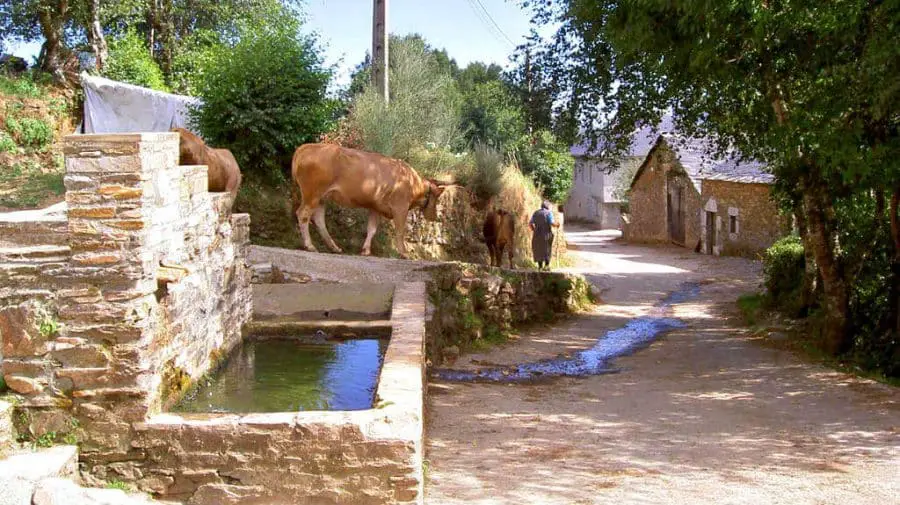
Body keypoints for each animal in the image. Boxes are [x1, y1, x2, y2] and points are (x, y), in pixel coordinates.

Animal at [292, 144, 446, 258]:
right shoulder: (400, 207)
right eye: (437, 197)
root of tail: (307, 147)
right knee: (303, 214)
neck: (413, 182)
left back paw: (334, 247)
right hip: (312, 194)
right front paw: (404, 253)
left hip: (321, 198)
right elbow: (400, 231)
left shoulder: (375, 207)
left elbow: (371, 229)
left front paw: (365, 250)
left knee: (319, 220)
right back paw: (310, 246)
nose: (434, 216)